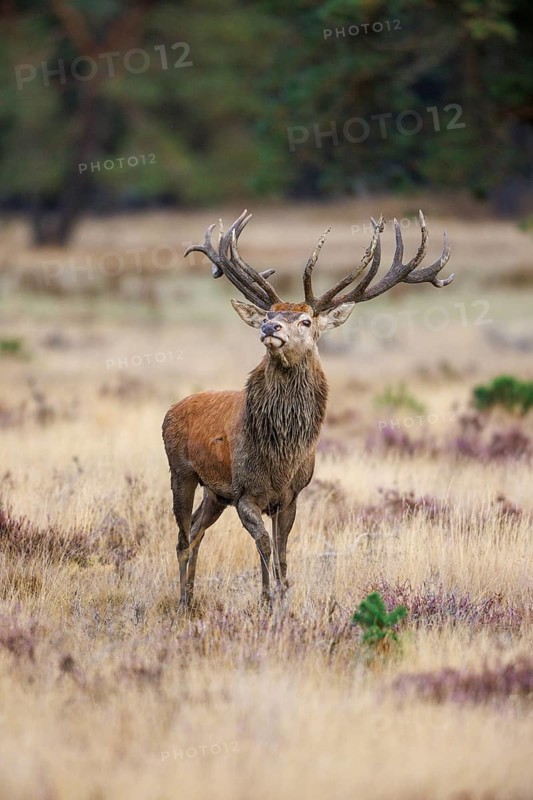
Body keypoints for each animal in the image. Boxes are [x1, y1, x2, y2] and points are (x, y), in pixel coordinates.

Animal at [162, 209, 453, 608]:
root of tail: (171, 409)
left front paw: (281, 599)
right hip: (182, 472)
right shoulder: (245, 493)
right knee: (181, 537)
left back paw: (191, 597)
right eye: (268, 314)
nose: (269, 327)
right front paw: (268, 601)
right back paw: (182, 602)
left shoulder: (290, 496)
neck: (280, 457)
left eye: (305, 321)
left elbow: (282, 553)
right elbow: (265, 547)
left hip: (214, 493)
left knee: (195, 530)